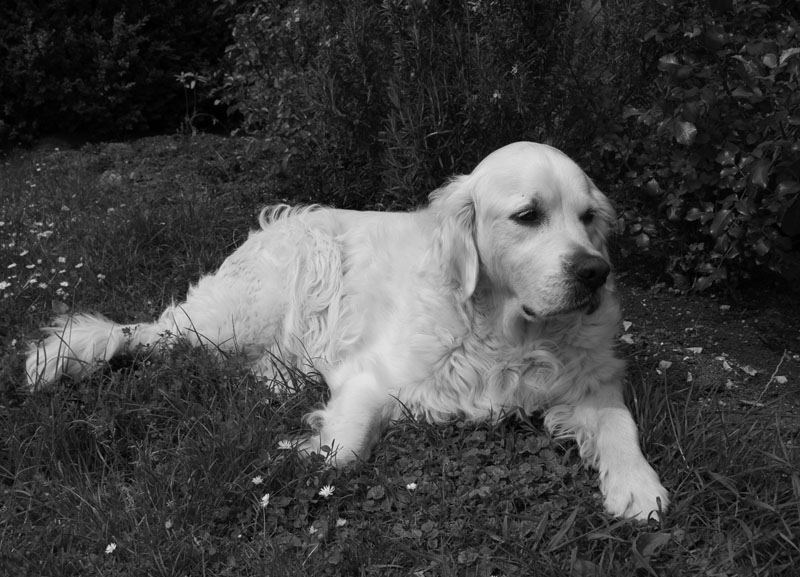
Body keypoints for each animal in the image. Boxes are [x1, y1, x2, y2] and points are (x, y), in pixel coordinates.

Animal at [25, 142, 668, 520]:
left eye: (588, 217)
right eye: (527, 215)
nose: (595, 272)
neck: (510, 333)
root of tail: (277, 223)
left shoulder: (592, 383)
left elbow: (620, 425)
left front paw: (637, 487)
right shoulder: (370, 374)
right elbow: (346, 451)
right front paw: (303, 449)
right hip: (237, 312)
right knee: (149, 332)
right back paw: (66, 354)